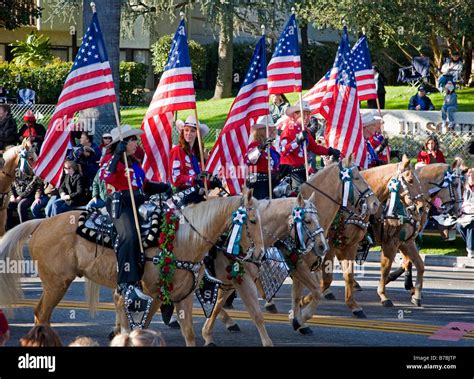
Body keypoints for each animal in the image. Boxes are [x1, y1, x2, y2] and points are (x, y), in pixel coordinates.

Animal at [0, 191, 264, 346]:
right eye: (252, 221)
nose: (259, 255)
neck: (183, 240)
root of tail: (41, 223)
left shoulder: (182, 295)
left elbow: (188, 332)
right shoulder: (149, 293)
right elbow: (141, 326)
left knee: (40, 314)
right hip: (57, 284)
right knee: (42, 315)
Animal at [199, 194, 326, 346]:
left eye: (318, 219)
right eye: (307, 221)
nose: (323, 247)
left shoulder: (230, 281)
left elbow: (217, 306)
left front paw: (298, 321)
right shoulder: (242, 280)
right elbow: (256, 314)